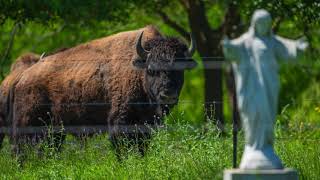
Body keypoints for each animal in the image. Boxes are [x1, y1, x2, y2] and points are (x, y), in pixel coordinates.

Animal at [8, 25, 196, 154]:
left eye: (180, 69)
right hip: (28, 125)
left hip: (53, 131)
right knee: (20, 150)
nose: (167, 94)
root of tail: (23, 76)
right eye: (151, 69)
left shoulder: (147, 124)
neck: (137, 71)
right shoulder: (119, 121)